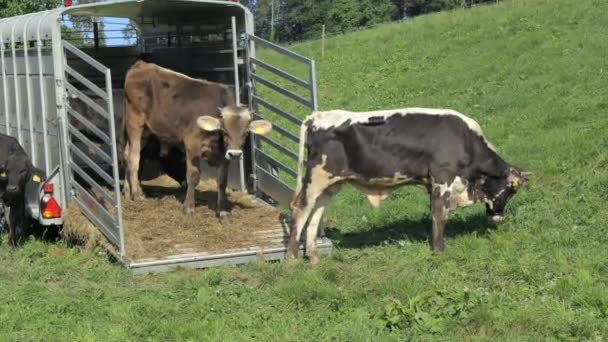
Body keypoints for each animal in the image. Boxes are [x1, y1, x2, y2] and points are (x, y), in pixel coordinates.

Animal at [121, 60, 274, 222]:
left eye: (245, 133)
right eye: (224, 131)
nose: (235, 154)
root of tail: (140, 64)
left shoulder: (224, 155)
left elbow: (222, 182)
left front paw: (223, 212)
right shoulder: (191, 144)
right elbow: (193, 176)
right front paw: (189, 207)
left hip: (146, 131)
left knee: (126, 155)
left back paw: (127, 190)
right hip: (135, 123)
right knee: (134, 158)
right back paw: (137, 194)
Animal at [288, 107, 528, 264]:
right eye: (512, 190)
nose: (499, 218)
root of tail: (317, 116)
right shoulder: (442, 178)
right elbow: (440, 215)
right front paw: (439, 252)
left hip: (331, 184)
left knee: (316, 211)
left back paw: (313, 257)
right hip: (316, 178)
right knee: (301, 208)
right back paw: (292, 258)